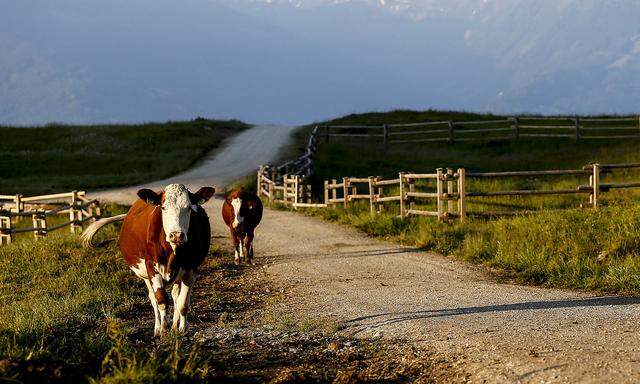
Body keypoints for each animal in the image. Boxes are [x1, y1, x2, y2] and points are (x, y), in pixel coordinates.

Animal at [80, 184, 212, 336]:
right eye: (163, 207)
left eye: (189, 207)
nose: (176, 235)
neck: (173, 251)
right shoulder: (151, 267)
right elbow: (161, 300)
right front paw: (163, 330)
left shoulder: (191, 269)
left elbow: (183, 303)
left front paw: (182, 329)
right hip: (144, 275)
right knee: (153, 299)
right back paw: (158, 327)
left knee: (176, 296)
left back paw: (174, 325)